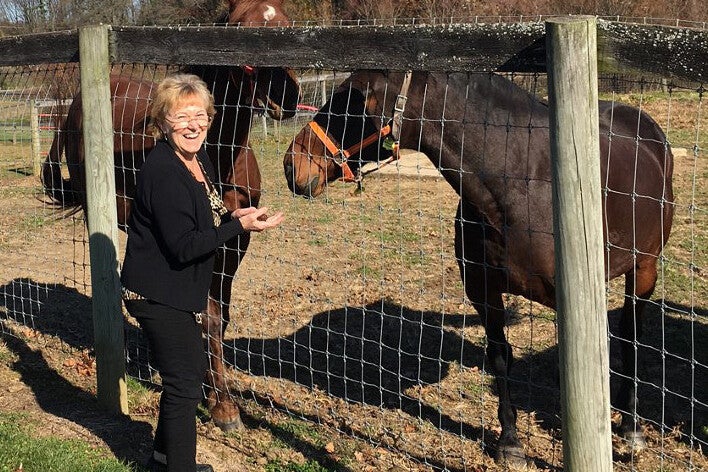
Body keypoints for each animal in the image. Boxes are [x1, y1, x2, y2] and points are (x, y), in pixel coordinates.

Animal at [40, 0, 302, 432]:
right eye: (240, 31)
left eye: (287, 25)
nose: (287, 94)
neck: (216, 156)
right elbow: (208, 317)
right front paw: (223, 406)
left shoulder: (235, 244)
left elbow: (220, 318)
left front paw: (213, 393)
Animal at [282, 70, 676, 464]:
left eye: (353, 100)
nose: (291, 164)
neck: (521, 185)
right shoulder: (483, 292)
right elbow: (500, 357)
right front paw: (510, 442)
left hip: (645, 269)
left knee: (630, 336)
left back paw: (631, 427)